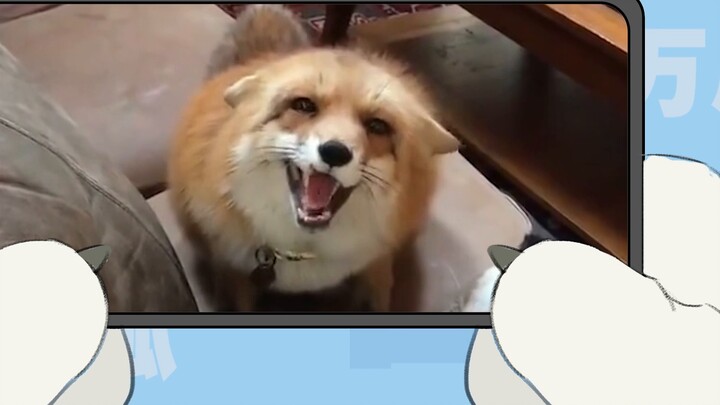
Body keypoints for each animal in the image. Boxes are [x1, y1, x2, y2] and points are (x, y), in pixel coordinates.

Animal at [167, 5, 459, 311]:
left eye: (378, 126)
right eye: (304, 105)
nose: (335, 151)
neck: (302, 256)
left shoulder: (376, 266)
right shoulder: (231, 272)